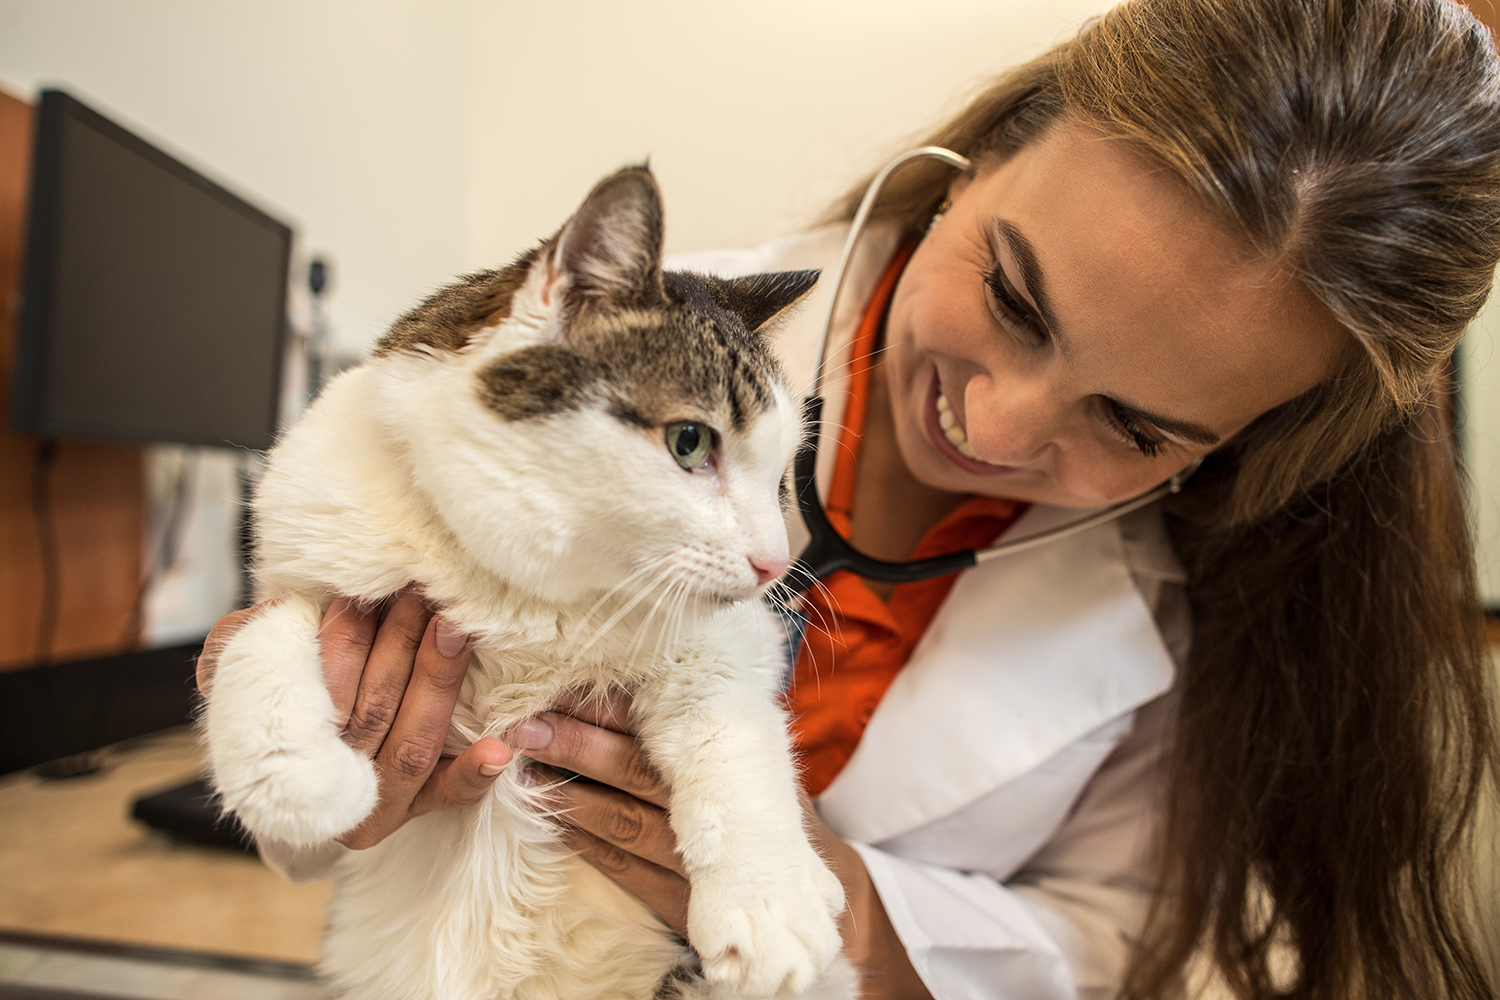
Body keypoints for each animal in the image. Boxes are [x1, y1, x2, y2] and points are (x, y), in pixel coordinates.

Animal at [199, 166, 858, 1000]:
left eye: (780, 481)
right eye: (689, 442)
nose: (775, 564)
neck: (520, 584)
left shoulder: (728, 638)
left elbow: (731, 734)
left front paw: (770, 900)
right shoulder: (312, 560)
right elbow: (257, 634)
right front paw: (295, 781)